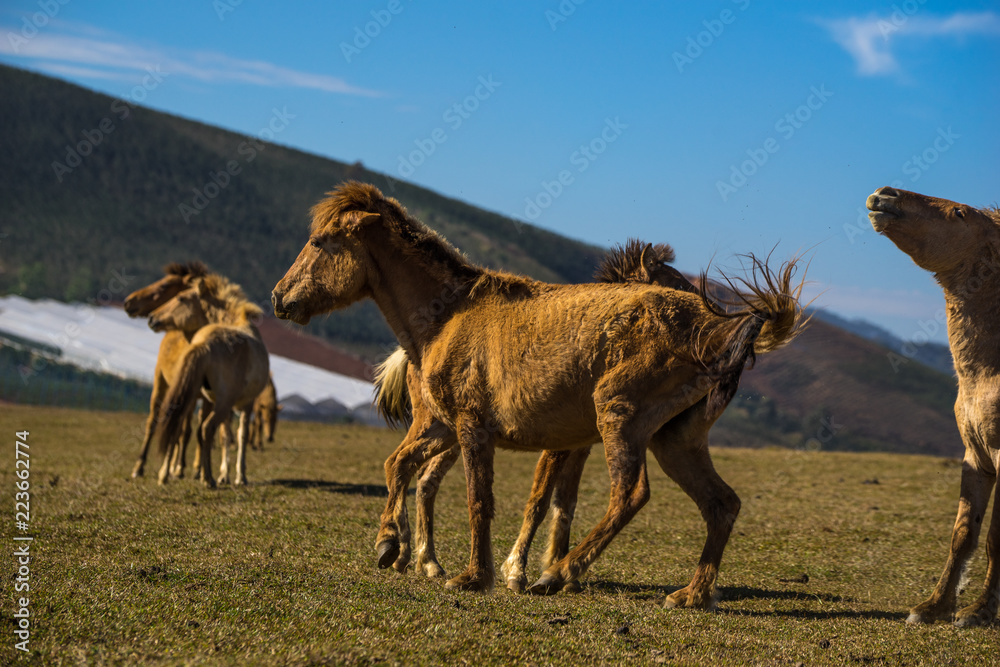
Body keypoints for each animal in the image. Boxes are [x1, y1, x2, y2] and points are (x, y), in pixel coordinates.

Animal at [149, 274, 270, 487]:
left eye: (181, 298)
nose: (152, 318)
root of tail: (205, 344)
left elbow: (226, 437)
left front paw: (225, 474)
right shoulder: (246, 404)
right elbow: (241, 435)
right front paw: (239, 476)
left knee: (180, 427)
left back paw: (166, 474)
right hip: (222, 403)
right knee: (207, 428)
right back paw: (208, 478)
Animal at [372, 239, 708, 592]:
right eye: (677, 285)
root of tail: (412, 354)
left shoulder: (580, 447)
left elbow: (566, 503)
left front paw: (560, 571)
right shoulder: (556, 446)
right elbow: (539, 501)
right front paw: (517, 572)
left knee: (423, 477)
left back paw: (423, 561)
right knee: (416, 474)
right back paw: (409, 555)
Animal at [868, 186, 1000, 627]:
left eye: (959, 213)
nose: (884, 195)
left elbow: (994, 539)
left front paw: (978, 612)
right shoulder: (976, 458)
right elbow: (963, 536)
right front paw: (934, 607)